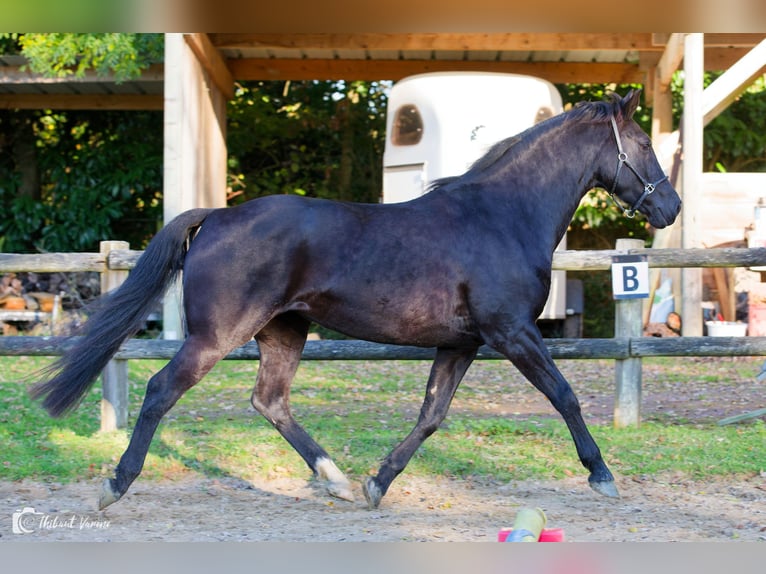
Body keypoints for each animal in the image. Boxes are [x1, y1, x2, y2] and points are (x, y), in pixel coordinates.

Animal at [33, 91, 684, 512]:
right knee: (161, 390)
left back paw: (338, 481)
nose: (671, 207)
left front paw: (377, 485)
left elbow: (431, 416)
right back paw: (113, 487)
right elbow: (565, 396)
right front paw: (602, 475)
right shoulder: (513, 333)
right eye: (642, 143)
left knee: (270, 402)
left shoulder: (462, 344)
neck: (502, 217)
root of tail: (216, 215)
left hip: (284, 331)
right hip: (216, 336)